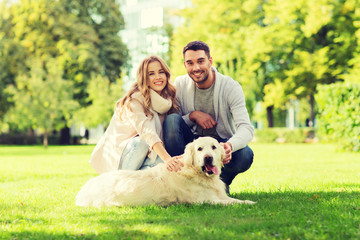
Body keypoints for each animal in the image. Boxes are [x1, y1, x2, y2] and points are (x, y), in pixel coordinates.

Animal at [76, 137, 256, 206]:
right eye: (199, 149)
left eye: (214, 147)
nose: (208, 158)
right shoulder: (206, 200)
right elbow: (232, 203)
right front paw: (251, 203)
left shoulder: (219, 195)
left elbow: (233, 199)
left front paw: (249, 201)